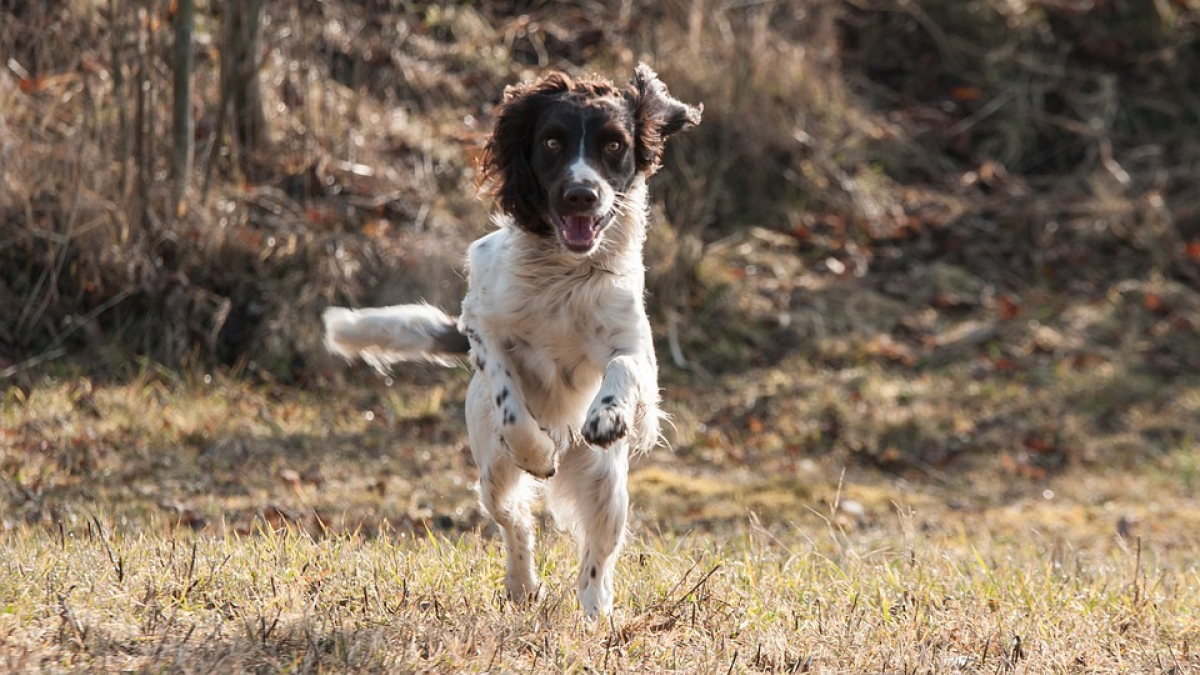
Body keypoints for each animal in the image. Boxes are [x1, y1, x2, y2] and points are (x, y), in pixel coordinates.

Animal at [326, 64, 700, 614]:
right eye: (551, 141)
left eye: (614, 144)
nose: (581, 195)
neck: (564, 273)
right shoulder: (482, 324)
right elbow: (509, 398)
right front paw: (538, 453)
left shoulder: (636, 347)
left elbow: (623, 368)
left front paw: (607, 414)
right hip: (491, 474)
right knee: (514, 521)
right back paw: (524, 584)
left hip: (607, 485)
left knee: (597, 559)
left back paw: (597, 616)